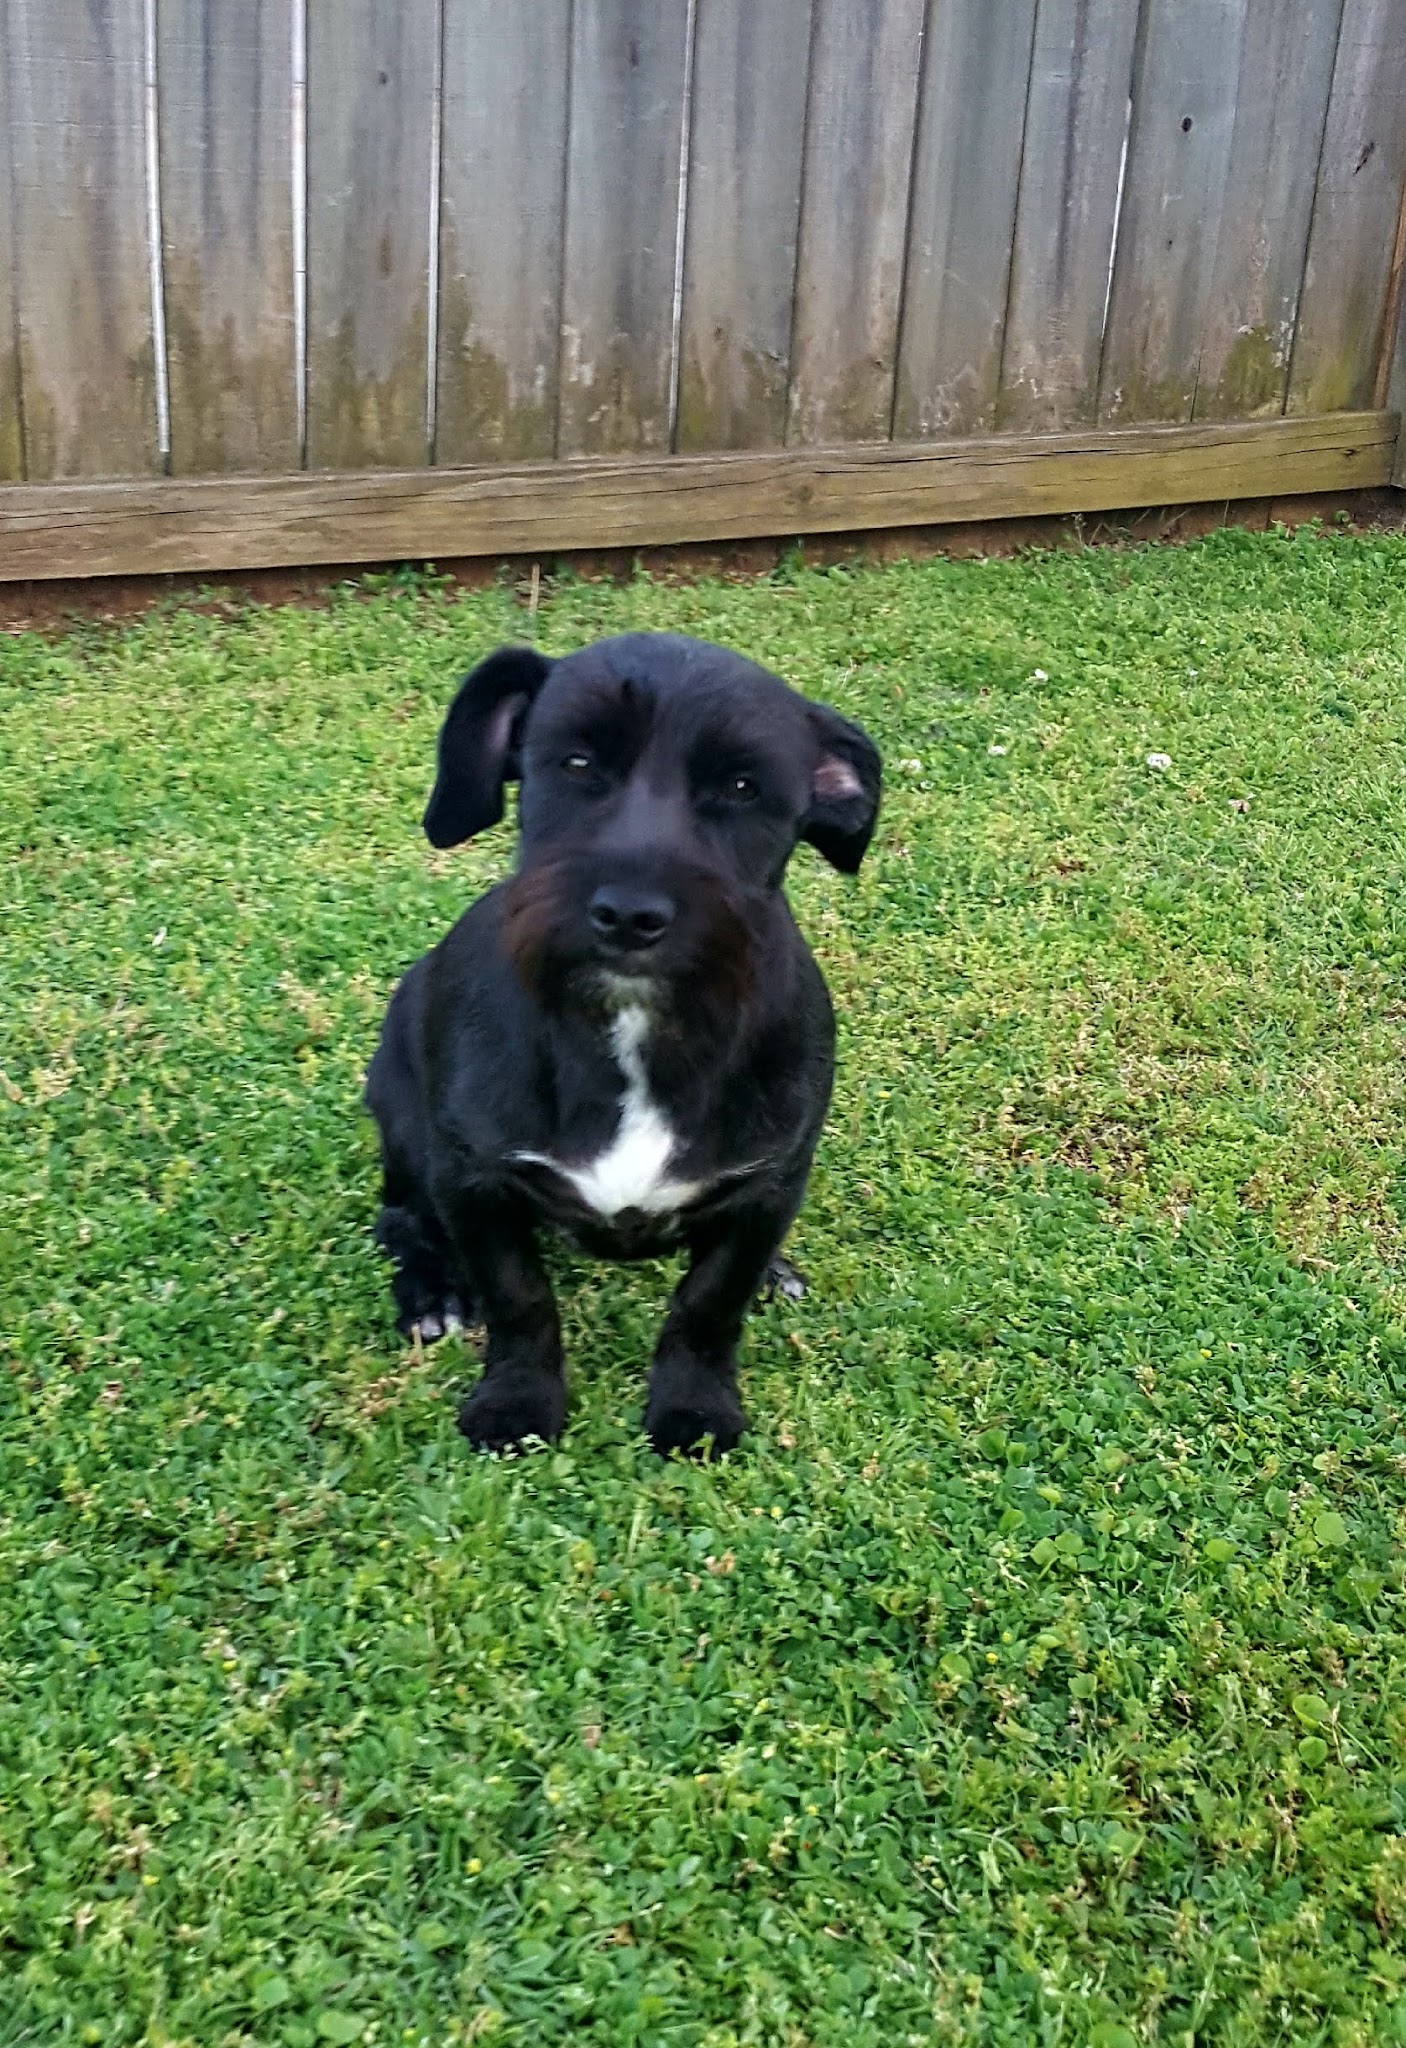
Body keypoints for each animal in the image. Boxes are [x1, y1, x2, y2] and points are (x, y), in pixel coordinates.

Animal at [365, 631, 881, 1456]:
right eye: (576, 763)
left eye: (742, 787)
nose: (630, 914)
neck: (635, 1026)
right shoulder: (472, 1181)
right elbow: (519, 1298)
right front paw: (517, 1401)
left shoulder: (770, 1186)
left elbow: (710, 1302)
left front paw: (695, 1405)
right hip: (405, 1123)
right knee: (400, 1219)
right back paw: (431, 1292)